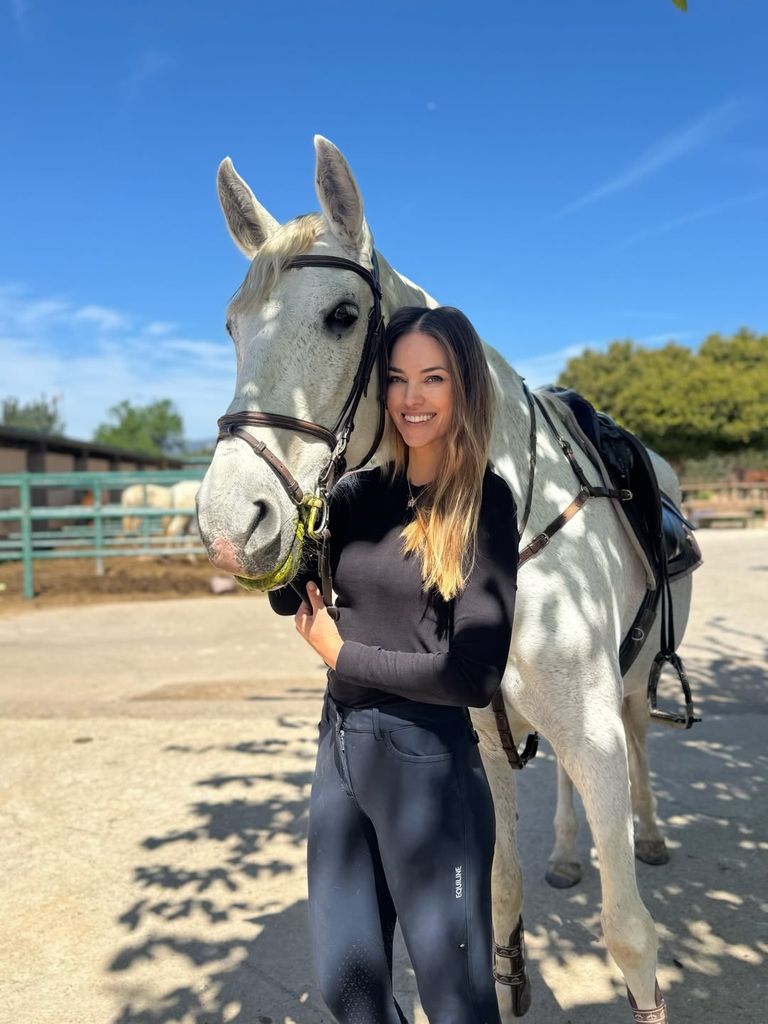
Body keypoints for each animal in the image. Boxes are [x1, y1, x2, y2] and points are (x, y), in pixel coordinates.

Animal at [195, 136, 693, 1022]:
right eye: (231, 327)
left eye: (342, 315)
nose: (227, 525)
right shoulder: (487, 742)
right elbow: (498, 892)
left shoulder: (594, 732)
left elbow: (629, 935)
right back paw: (567, 853)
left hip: (629, 694)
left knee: (638, 738)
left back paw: (653, 833)